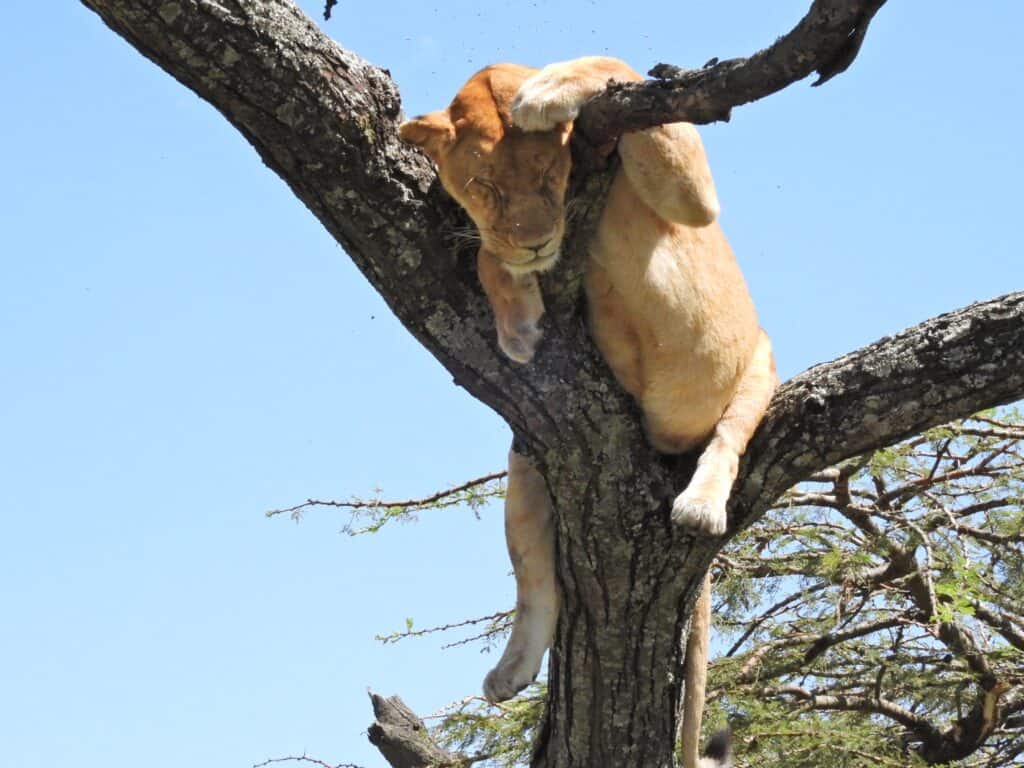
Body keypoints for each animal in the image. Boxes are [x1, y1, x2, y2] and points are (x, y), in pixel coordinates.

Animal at [400, 56, 775, 767]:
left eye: (551, 173)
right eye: (484, 183)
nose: (535, 242)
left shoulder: (690, 196)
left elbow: (615, 67)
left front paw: (542, 93)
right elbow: (488, 252)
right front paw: (517, 325)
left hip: (762, 362)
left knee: (729, 439)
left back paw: (700, 504)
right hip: (529, 456)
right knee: (536, 579)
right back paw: (511, 671)